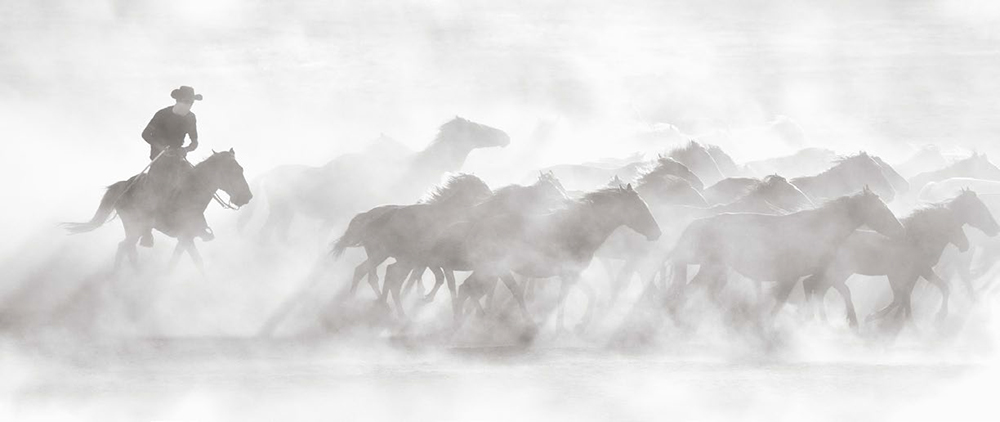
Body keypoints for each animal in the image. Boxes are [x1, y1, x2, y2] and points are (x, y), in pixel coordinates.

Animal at [64, 150, 252, 272]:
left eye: (241, 169)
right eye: (233, 171)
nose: (247, 196)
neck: (190, 193)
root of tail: (123, 186)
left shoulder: (186, 238)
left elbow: (184, 262)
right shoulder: (185, 238)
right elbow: (189, 262)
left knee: (126, 248)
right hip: (135, 228)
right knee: (126, 247)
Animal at [664, 186, 908, 314]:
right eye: (881, 210)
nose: (901, 230)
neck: (817, 228)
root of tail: (696, 223)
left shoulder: (805, 275)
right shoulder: (791, 276)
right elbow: (778, 303)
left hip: (715, 269)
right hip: (710, 267)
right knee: (689, 291)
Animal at [804, 190, 1000, 324]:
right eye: (980, 208)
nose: (995, 228)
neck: (918, 237)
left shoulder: (911, 273)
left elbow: (903, 297)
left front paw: (889, 319)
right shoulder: (918, 270)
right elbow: (935, 289)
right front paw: (937, 316)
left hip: (839, 272)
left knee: (815, 287)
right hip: (839, 271)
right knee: (815, 286)